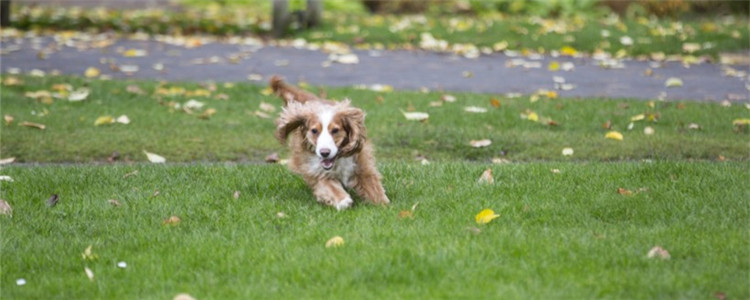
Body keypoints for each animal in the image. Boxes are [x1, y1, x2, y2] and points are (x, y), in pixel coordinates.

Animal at [270, 76, 390, 210]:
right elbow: (329, 186)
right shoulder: (317, 172)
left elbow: (373, 186)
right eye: (314, 131)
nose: (324, 153)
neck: (337, 160)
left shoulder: (362, 165)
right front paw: (343, 200)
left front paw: (383, 204)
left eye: (335, 130)